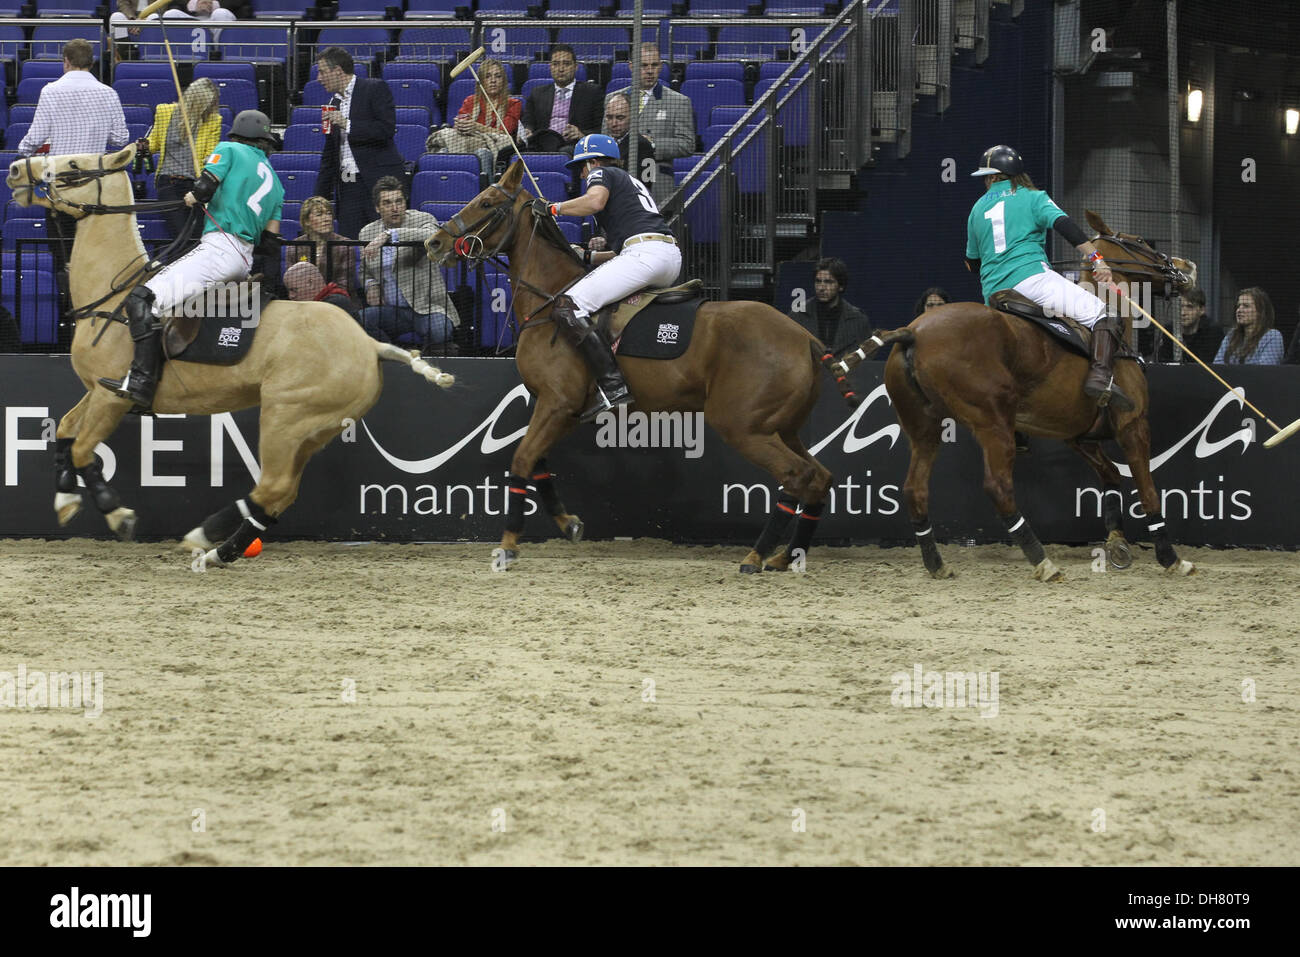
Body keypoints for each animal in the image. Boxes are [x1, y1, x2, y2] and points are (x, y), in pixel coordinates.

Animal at [6, 144, 452, 564]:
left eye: (74, 165)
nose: (14, 170)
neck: (111, 295)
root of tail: (370, 343)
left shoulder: (113, 396)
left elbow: (83, 448)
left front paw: (117, 514)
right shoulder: (98, 389)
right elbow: (65, 429)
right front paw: (65, 499)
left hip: (285, 417)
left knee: (273, 486)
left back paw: (205, 537)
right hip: (316, 429)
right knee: (280, 495)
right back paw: (221, 550)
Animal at [426, 160, 832, 572]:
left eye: (486, 202)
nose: (435, 244)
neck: (549, 300)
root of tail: (806, 339)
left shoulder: (557, 403)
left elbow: (522, 459)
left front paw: (508, 545)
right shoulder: (565, 410)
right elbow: (536, 459)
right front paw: (569, 523)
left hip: (742, 424)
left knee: (796, 476)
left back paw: (757, 554)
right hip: (781, 426)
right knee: (819, 478)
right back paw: (785, 556)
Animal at [832, 211, 1196, 579]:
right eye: (1140, 241)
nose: (1186, 266)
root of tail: (912, 332)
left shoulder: (1079, 436)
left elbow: (1110, 477)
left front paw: (1118, 543)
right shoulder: (1132, 425)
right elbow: (1147, 491)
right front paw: (1170, 557)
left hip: (922, 427)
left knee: (914, 490)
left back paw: (937, 564)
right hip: (992, 420)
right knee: (998, 487)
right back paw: (1041, 560)